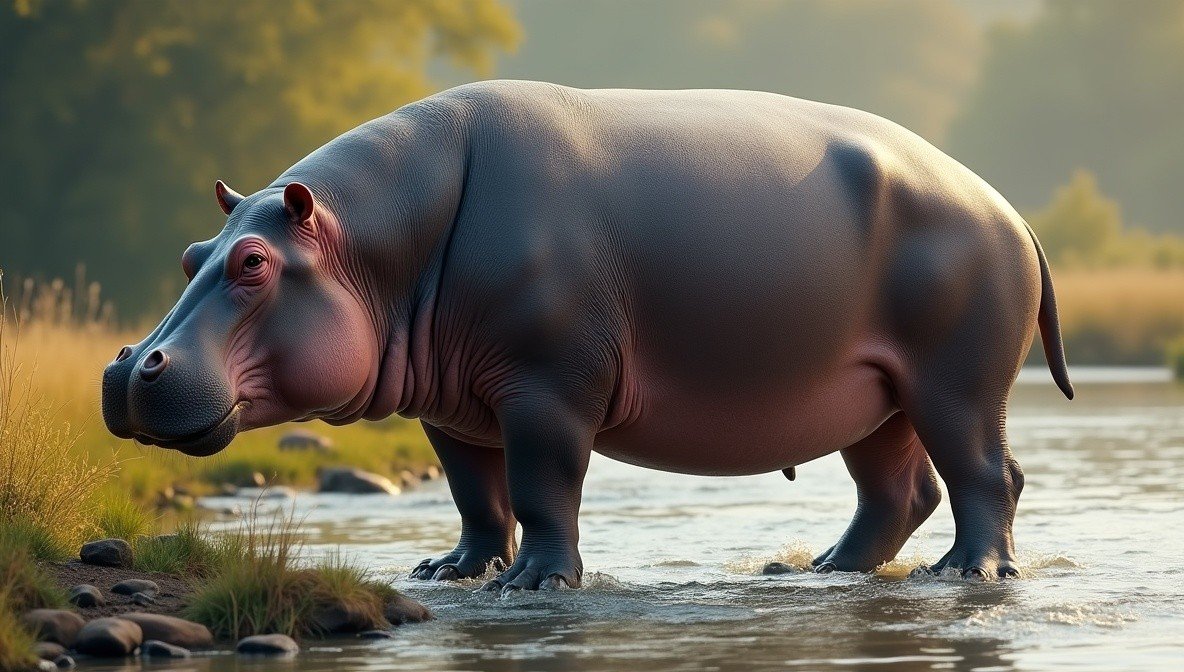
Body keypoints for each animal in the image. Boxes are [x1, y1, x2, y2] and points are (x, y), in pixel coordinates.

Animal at [102, 80, 1073, 590]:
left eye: (254, 263)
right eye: (194, 253)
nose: (126, 367)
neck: (378, 241)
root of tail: (1010, 211)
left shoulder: (547, 390)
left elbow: (541, 488)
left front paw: (536, 583)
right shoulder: (449, 409)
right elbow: (475, 497)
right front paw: (448, 572)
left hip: (953, 385)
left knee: (989, 477)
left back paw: (968, 574)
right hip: (872, 394)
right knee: (899, 491)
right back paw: (819, 571)